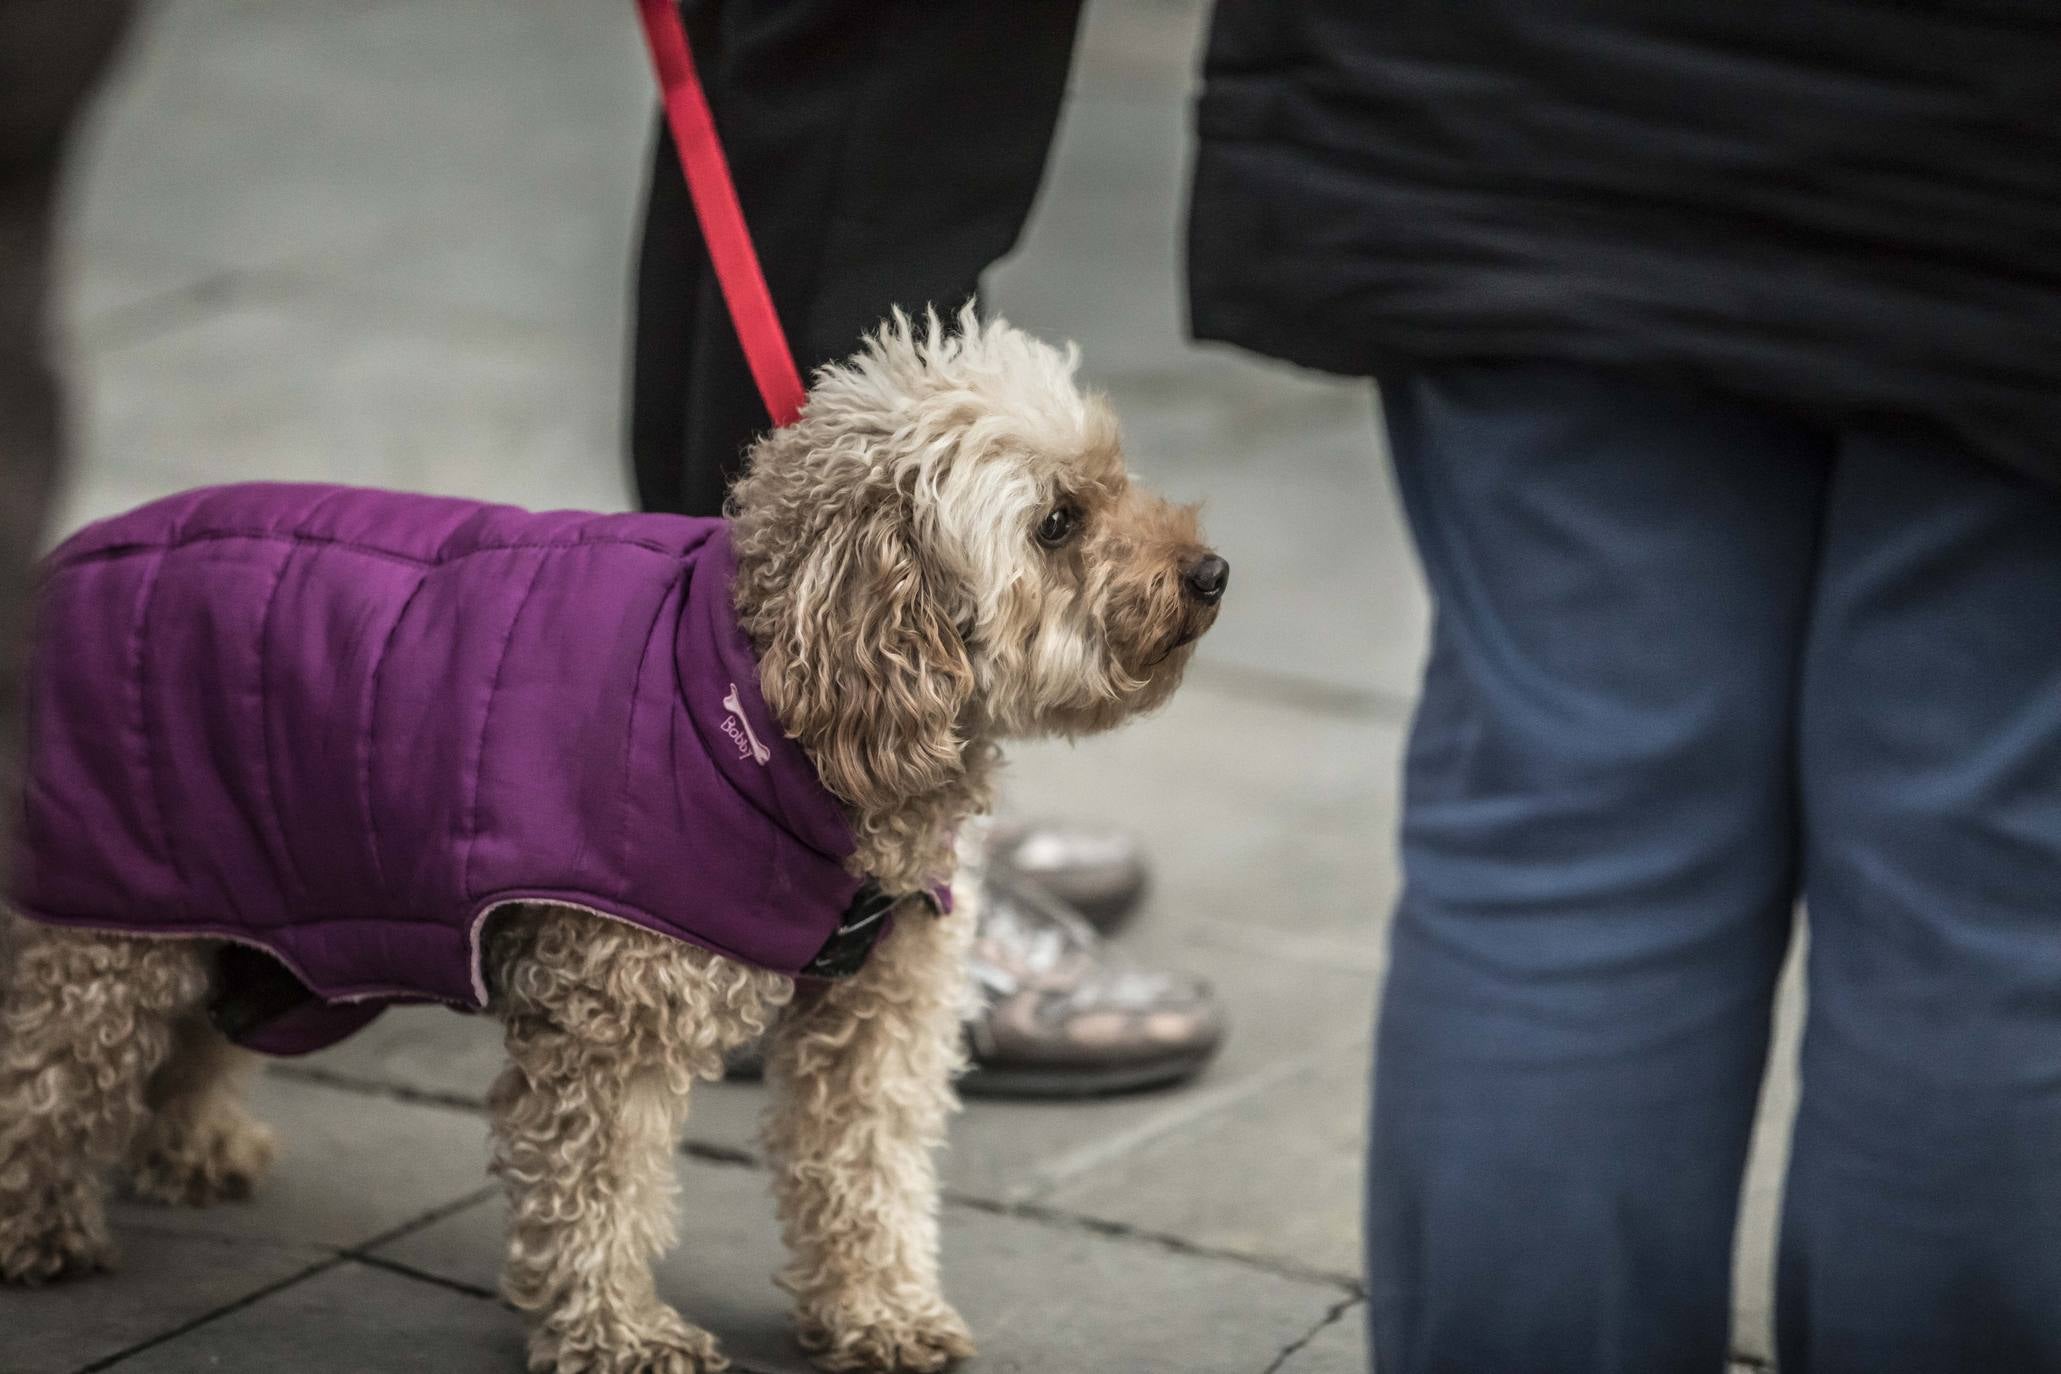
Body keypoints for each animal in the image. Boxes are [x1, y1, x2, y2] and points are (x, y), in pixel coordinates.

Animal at [0, 315, 1220, 1374]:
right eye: (1057, 522)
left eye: (1116, 475)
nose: (1211, 574)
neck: (767, 700)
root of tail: (56, 564)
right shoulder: (612, 1016)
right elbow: (601, 1191)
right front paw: (619, 1334)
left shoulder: (881, 1009)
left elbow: (866, 1165)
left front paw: (878, 1313)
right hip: (106, 925)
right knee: (50, 1070)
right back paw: (38, 1230)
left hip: (253, 909)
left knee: (196, 1033)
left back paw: (189, 1151)